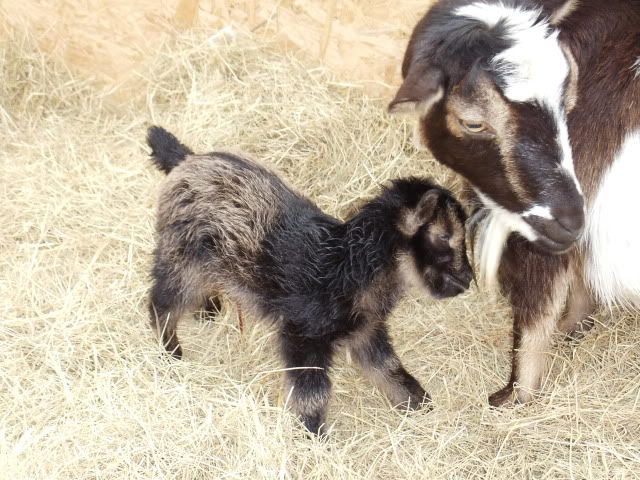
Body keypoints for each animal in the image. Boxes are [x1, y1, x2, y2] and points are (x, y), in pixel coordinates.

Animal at [145, 126, 473, 434]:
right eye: (444, 237)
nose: (468, 278)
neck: (349, 266)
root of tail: (187, 161)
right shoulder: (303, 335)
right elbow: (312, 393)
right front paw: (315, 434)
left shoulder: (367, 329)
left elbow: (390, 369)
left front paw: (420, 405)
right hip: (181, 258)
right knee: (162, 303)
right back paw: (171, 351)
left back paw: (208, 310)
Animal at [389, 0, 640, 406]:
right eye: (474, 123)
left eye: (567, 101)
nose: (569, 220)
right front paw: (573, 329)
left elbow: (537, 315)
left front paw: (513, 399)